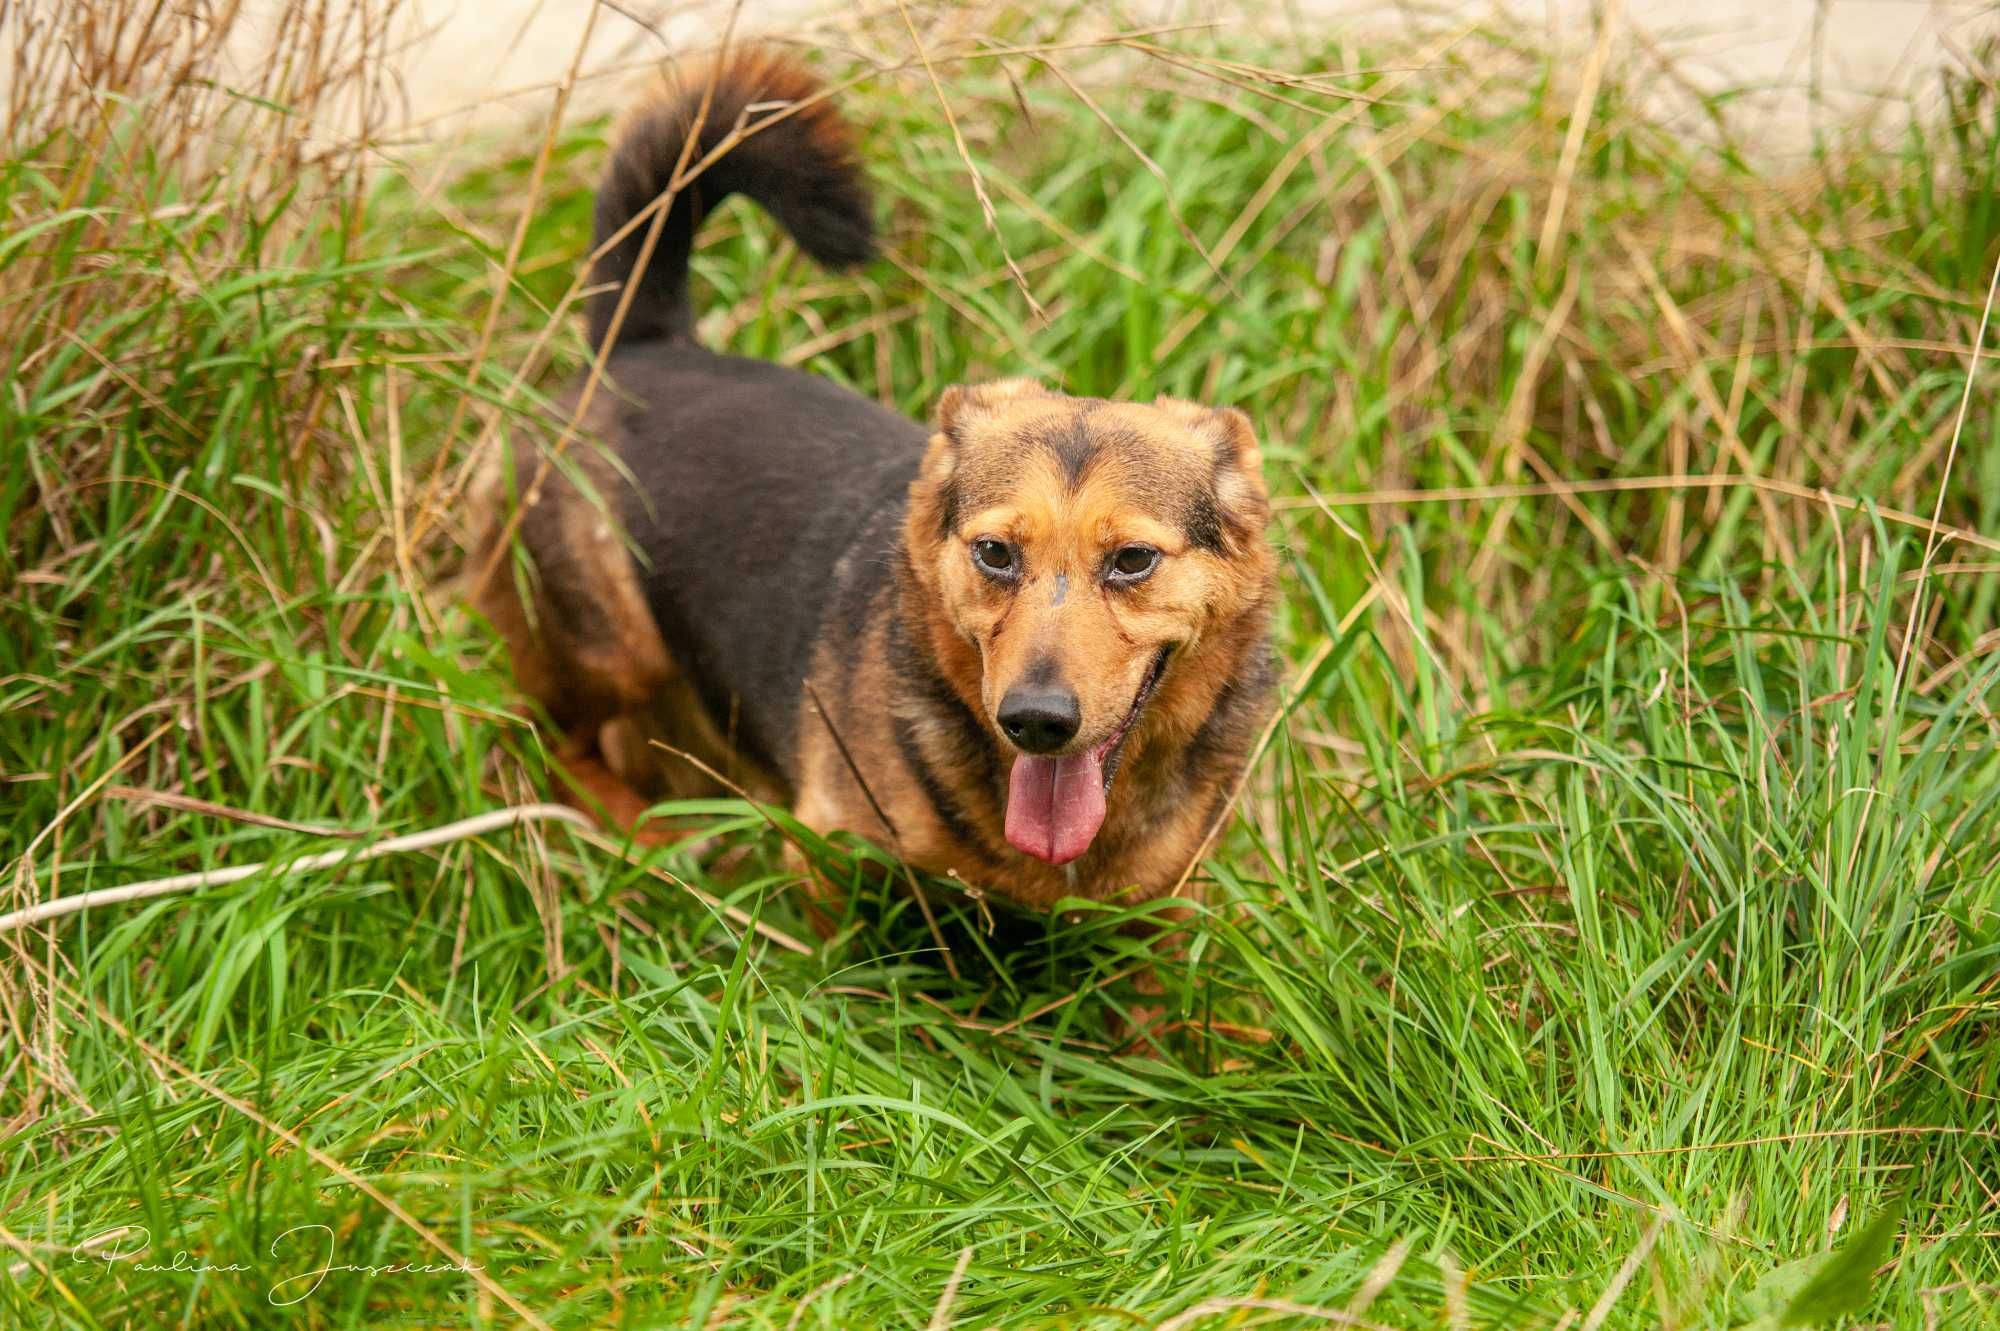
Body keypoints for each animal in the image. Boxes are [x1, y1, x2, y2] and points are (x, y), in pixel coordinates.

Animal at [472, 51, 1264, 919]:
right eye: (994, 552)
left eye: (1132, 560)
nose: (1036, 721)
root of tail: (640, 345)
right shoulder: (826, 853)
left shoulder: (1173, 900)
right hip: (611, 648)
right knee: (543, 739)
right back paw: (650, 838)